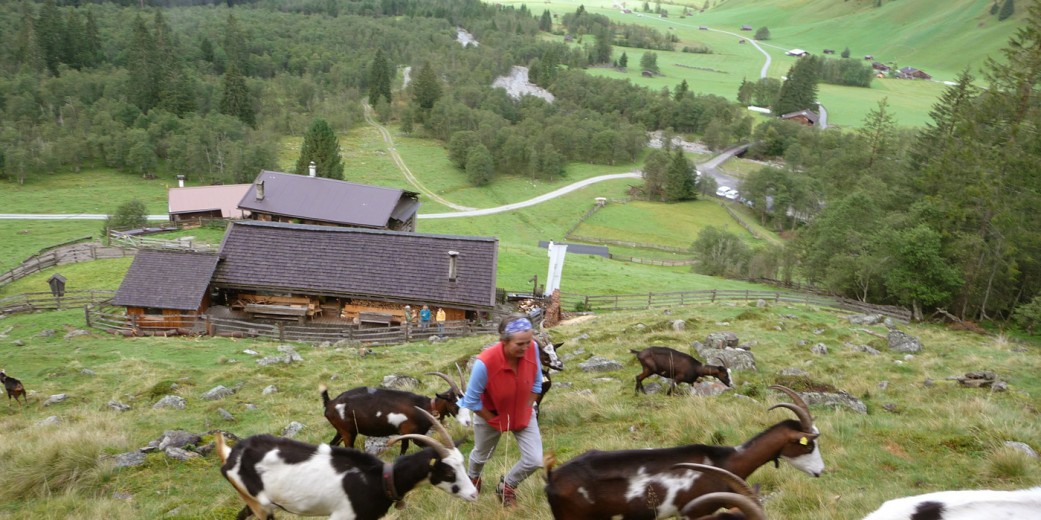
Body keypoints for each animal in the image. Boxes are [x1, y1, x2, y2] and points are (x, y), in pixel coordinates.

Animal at [219, 405, 478, 520]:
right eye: (448, 472)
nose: (474, 494)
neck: (379, 479)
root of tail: (231, 454)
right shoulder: (342, 516)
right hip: (260, 505)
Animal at [316, 372, 464, 453]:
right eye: (455, 402)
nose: (466, 421)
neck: (425, 407)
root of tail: (330, 403)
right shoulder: (414, 435)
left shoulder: (405, 434)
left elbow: (404, 448)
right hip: (348, 433)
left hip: (342, 431)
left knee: (331, 444)